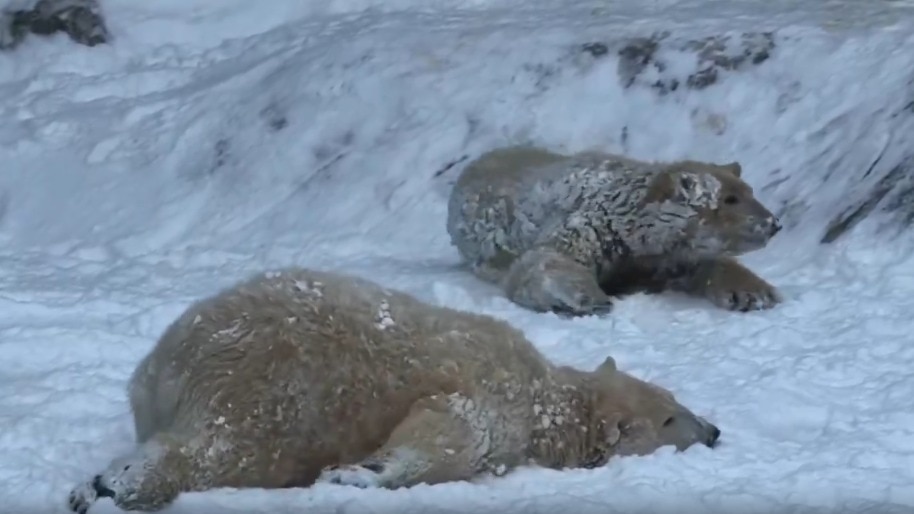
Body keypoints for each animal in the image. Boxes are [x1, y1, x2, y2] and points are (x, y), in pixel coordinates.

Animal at [67, 266, 721, 513]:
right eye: (671, 417)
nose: (715, 430)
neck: (551, 395)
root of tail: (164, 366)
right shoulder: (496, 391)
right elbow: (455, 429)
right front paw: (360, 473)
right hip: (273, 383)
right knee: (226, 445)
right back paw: (118, 485)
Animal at [446, 145, 783, 316]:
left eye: (749, 191)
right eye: (730, 198)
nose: (774, 224)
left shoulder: (662, 255)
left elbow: (704, 263)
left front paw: (753, 293)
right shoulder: (594, 224)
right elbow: (546, 258)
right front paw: (587, 297)